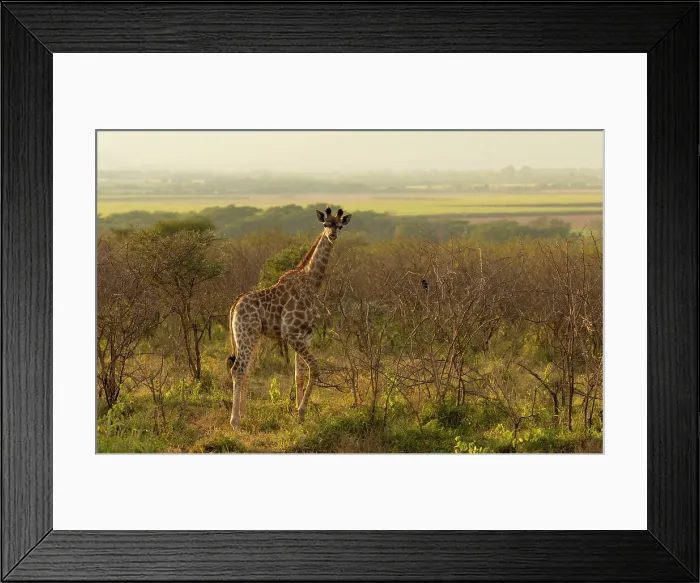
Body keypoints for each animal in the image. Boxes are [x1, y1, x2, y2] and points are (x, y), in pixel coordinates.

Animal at [227, 206, 352, 429]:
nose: (332, 235)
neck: (311, 285)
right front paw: (301, 412)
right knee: (237, 369)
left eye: (339, 226)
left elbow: (299, 375)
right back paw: (235, 422)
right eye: (325, 224)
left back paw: (244, 414)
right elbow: (315, 368)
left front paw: (298, 415)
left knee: (247, 369)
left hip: (254, 337)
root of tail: (235, 304)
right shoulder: (291, 334)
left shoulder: (306, 336)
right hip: (246, 334)